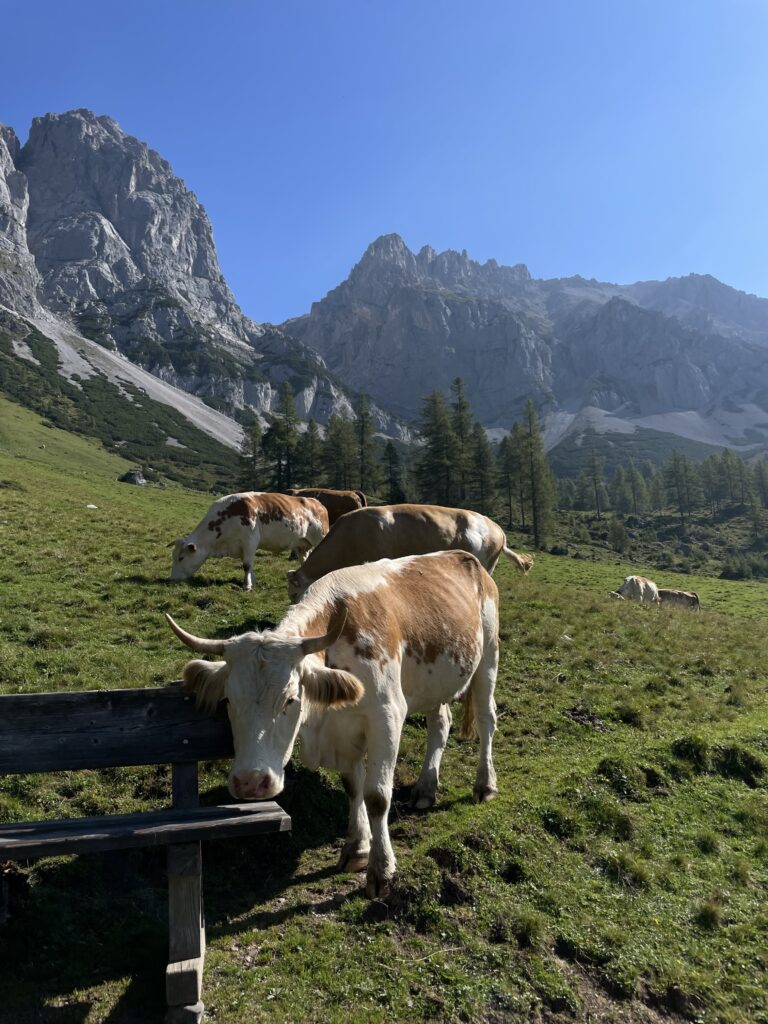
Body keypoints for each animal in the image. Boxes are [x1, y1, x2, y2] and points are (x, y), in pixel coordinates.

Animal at [166, 549, 500, 898]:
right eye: (229, 700)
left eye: (290, 699)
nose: (251, 782)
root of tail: (463, 557)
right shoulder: (342, 730)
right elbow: (354, 788)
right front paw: (357, 849)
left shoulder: (386, 717)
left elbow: (377, 796)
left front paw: (381, 869)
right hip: (437, 683)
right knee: (440, 723)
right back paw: (425, 787)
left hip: (488, 657)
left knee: (487, 719)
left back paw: (485, 784)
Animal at [170, 492, 329, 591]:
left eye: (181, 558)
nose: (172, 579)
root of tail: (316, 503)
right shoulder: (242, 546)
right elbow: (248, 565)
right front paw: (253, 581)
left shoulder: (250, 540)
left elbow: (246, 565)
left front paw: (247, 586)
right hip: (302, 544)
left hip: (320, 537)